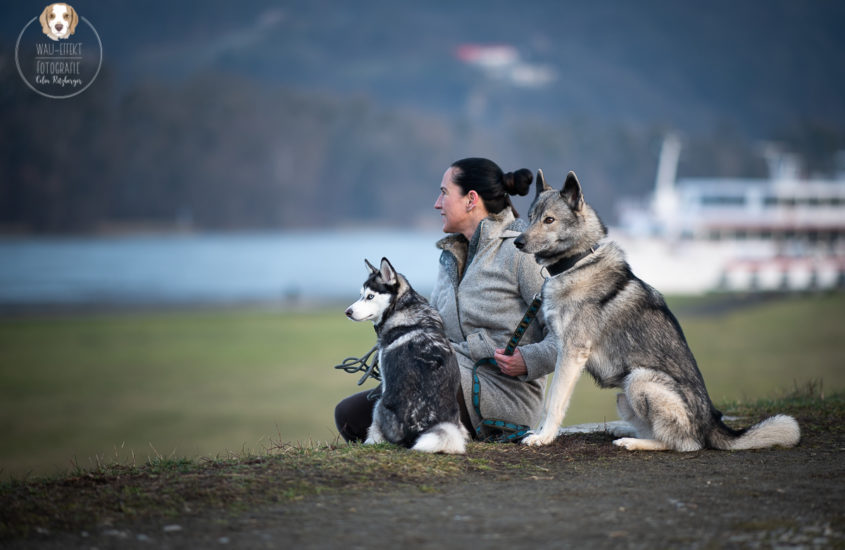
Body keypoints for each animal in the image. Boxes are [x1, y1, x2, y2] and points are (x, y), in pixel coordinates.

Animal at [346, 258, 472, 458]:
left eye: (370, 296)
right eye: (360, 295)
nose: (347, 312)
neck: (402, 309)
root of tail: (424, 427)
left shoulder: (385, 380)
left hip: (379, 405)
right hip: (454, 422)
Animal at [512, 172, 800, 452]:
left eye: (549, 220)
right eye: (531, 217)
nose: (517, 242)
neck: (578, 261)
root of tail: (710, 424)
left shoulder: (572, 352)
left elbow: (554, 402)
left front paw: (544, 437)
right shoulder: (562, 348)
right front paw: (541, 433)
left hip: (639, 380)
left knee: (684, 444)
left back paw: (633, 442)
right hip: (624, 395)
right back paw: (623, 429)